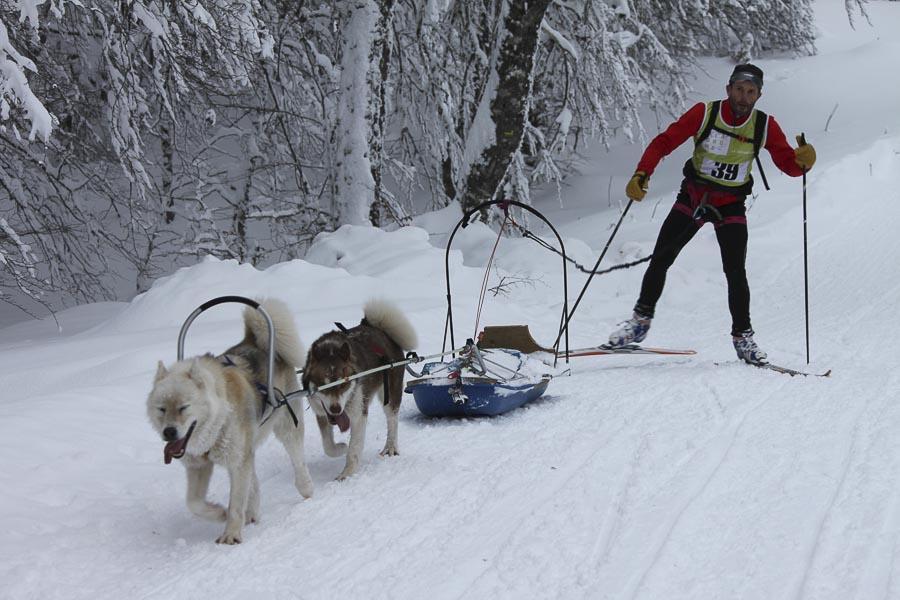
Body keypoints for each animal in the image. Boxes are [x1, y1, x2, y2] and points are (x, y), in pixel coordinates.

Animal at [145, 300, 312, 544]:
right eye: (162, 409)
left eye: (184, 407)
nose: (169, 432)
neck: (219, 418)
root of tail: (253, 340)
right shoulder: (199, 466)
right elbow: (194, 503)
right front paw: (218, 513)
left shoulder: (237, 462)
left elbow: (235, 503)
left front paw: (231, 534)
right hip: (246, 450)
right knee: (253, 484)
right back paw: (251, 513)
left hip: (286, 428)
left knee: (298, 461)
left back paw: (306, 488)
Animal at [300, 298, 416, 480]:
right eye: (324, 386)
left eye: (343, 384)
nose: (336, 409)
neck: (330, 349)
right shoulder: (321, 413)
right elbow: (328, 446)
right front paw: (340, 447)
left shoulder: (358, 415)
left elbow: (353, 449)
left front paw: (346, 474)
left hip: (390, 394)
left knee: (392, 420)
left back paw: (390, 447)